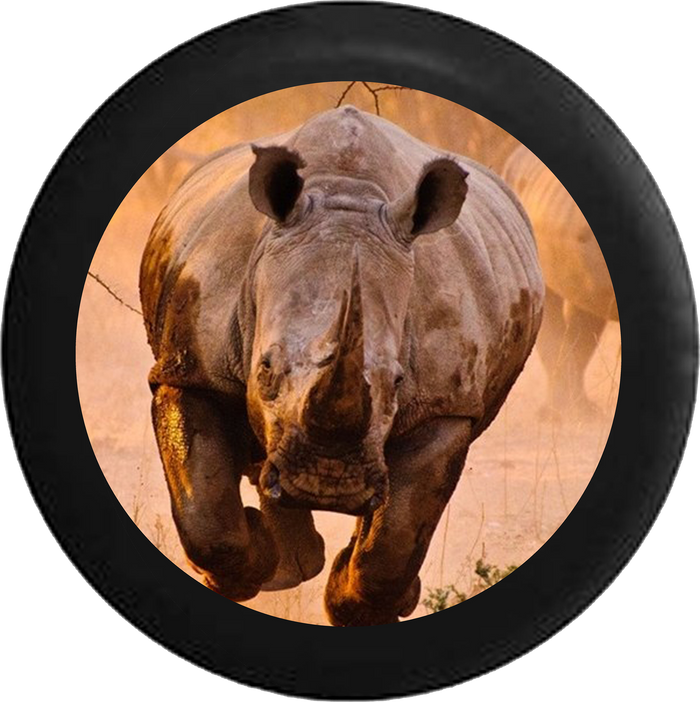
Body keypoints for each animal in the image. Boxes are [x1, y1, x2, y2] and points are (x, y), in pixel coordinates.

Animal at [139, 106, 544, 626]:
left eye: (398, 381)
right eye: (264, 368)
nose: (327, 483)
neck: (347, 194)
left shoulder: (446, 403)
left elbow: (396, 538)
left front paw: (356, 606)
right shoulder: (190, 369)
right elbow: (207, 516)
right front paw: (244, 572)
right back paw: (288, 567)